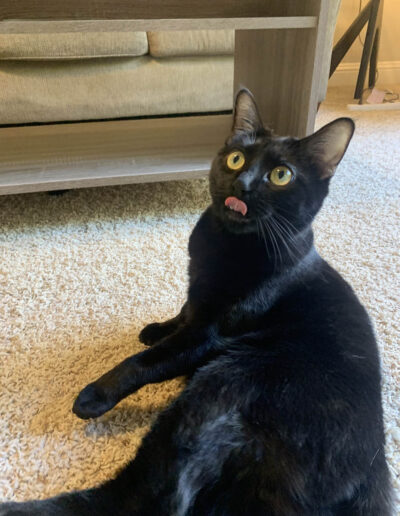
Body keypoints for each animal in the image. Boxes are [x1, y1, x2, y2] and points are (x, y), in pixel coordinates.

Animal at [0, 89, 393, 515]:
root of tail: (370, 476)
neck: (225, 244)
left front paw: (97, 392)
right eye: (236, 158)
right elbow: (183, 311)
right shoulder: (197, 293)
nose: (243, 183)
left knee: (140, 498)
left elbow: (145, 363)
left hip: (214, 392)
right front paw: (156, 329)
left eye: (281, 175)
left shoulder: (207, 334)